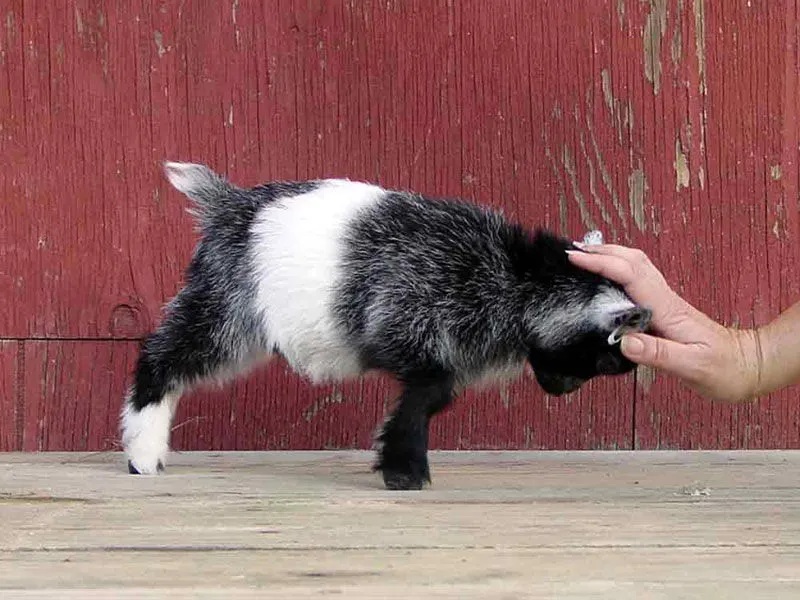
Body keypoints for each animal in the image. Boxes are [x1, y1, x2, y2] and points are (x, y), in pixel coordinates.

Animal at [123, 162, 648, 490]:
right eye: (606, 358)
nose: (563, 391)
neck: (512, 277)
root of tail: (228, 206)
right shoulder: (406, 322)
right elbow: (430, 394)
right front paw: (404, 469)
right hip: (226, 309)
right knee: (160, 356)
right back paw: (143, 453)